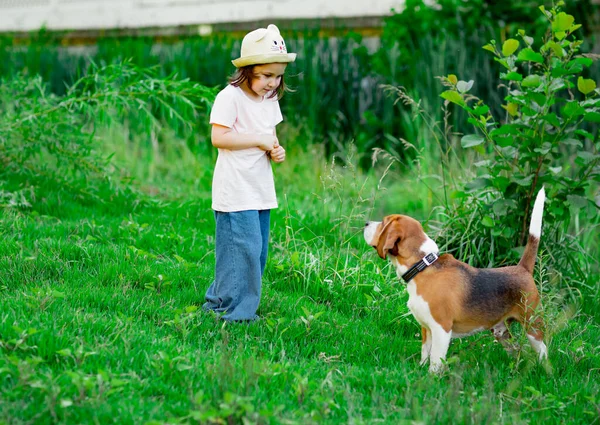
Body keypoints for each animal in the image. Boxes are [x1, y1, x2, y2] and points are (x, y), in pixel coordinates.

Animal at [364, 186, 548, 372]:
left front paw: (431, 377)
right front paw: (420, 371)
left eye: (383, 222)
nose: (365, 223)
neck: (423, 266)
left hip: (532, 325)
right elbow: (425, 353)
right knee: (518, 350)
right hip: (501, 332)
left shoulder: (441, 329)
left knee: (542, 349)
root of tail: (522, 268)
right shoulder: (426, 328)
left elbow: (435, 360)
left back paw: (543, 370)